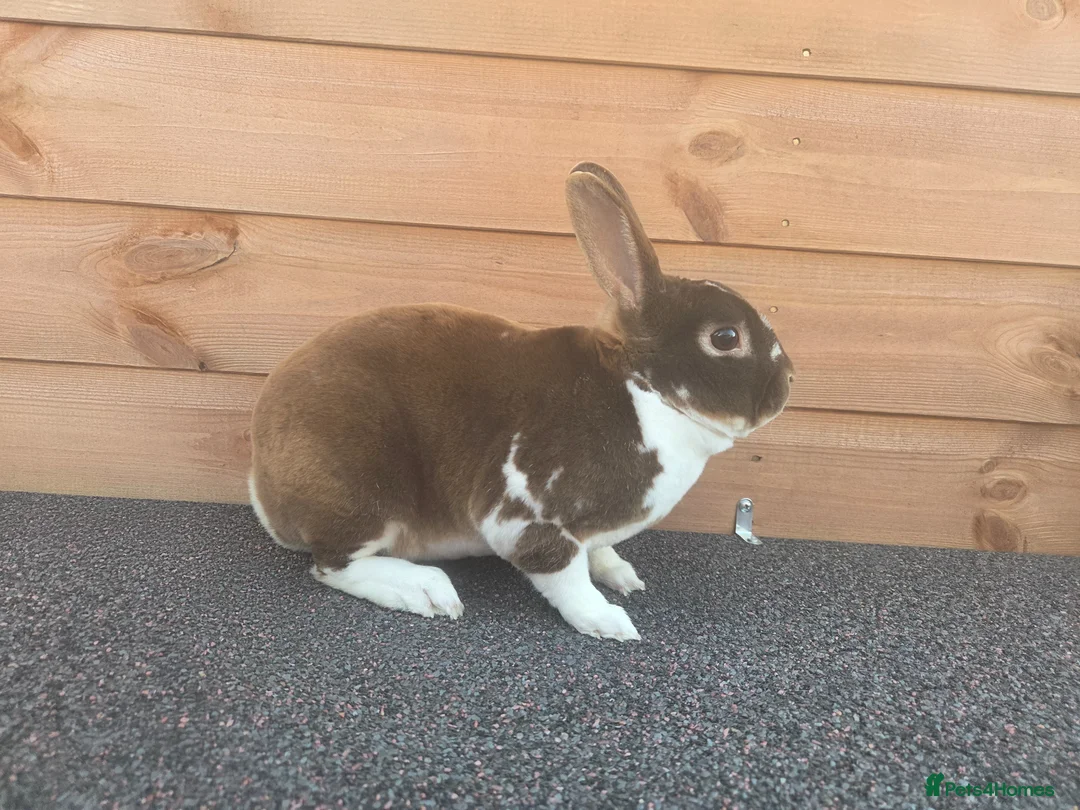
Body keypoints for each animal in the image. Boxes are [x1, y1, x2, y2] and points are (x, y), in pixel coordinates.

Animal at [249, 162, 794, 641]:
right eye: (725, 338)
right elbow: (565, 576)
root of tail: (262, 484)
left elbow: (596, 555)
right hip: (364, 492)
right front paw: (609, 622)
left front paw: (622, 575)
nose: (788, 381)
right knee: (333, 565)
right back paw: (429, 592)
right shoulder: (527, 514)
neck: (643, 392)